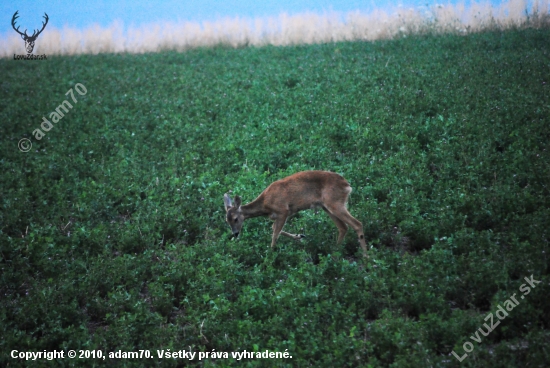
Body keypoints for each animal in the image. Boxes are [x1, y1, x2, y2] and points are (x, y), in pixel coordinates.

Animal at [222, 170, 368, 256]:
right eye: (226, 220)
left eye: (235, 219)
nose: (235, 234)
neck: (265, 204)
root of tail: (347, 185)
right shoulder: (281, 214)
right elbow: (275, 229)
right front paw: (300, 236)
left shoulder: (283, 210)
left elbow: (275, 233)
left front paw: (270, 254)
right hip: (327, 206)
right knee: (343, 227)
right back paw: (335, 252)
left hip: (335, 203)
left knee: (357, 224)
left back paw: (366, 256)